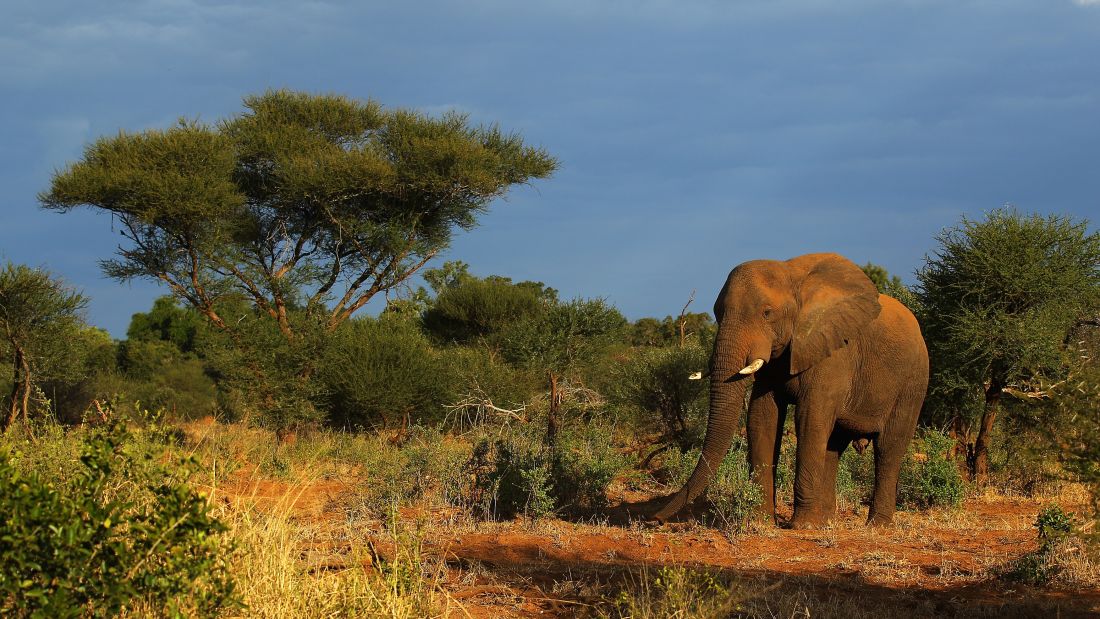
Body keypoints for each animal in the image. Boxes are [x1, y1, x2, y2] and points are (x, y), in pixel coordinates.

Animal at [651, 251, 928, 527]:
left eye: (767, 313)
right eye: (717, 313)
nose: (656, 518)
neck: (792, 276)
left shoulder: (833, 352)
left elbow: (809, 420)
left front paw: (802, 526)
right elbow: (762, 417)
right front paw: (762, 521)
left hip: (913, 383)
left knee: (888, 449)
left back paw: (876, 524)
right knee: (834, 446)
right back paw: (826, 521)